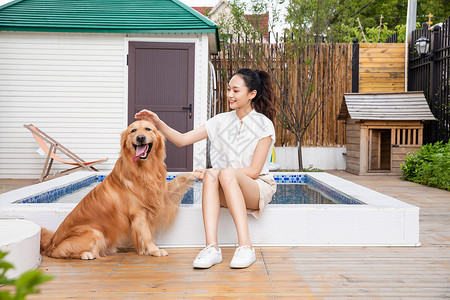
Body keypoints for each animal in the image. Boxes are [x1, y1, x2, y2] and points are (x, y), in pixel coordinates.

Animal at [40, 120, 197, 258]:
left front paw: (196, 173)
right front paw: (154, 250)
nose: (140, 137)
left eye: (148, 129)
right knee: (63, 252)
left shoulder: (160, 193)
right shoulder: (138, 212)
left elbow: (179, 179)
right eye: (133, 130)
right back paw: (86, 254)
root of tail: (50, 243)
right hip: (95, 232)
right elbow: (146, 234)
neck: (144, 170)